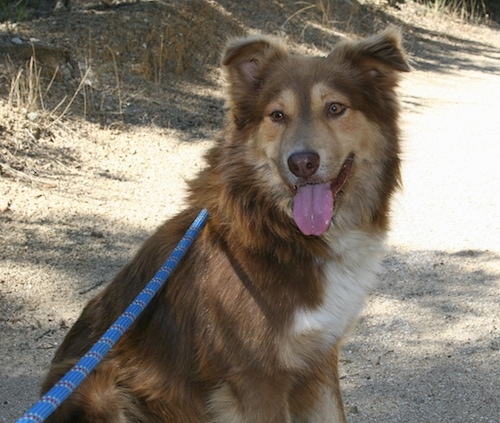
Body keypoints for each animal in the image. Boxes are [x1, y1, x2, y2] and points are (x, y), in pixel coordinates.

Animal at [42, 28, 410, 422]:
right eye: (277, 115)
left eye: (335, 108)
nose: (302, 163)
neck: (280, 231)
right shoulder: (257, 377)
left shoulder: (321, 357)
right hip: (102, 392)